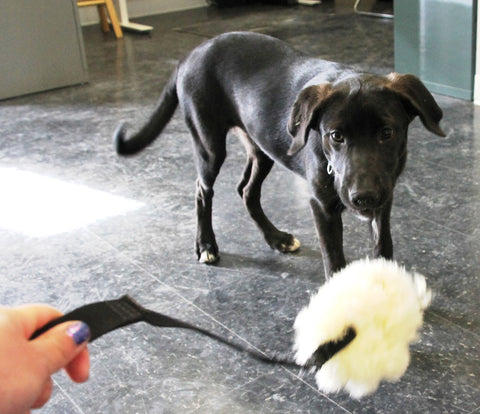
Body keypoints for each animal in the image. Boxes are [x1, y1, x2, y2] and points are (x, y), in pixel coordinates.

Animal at [114, 31, 444, 278]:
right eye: (335, 136)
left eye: (387, 133)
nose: (363, 197)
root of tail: (190, 55)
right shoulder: (322, 207)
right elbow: (334, 260)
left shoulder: (385, 198)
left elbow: (383, 245)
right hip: (209, 146)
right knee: (202, 190)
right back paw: (206, 244)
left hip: (263, 148)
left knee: (246, 190)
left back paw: (276, 238)